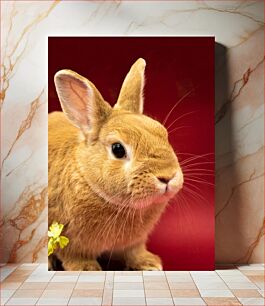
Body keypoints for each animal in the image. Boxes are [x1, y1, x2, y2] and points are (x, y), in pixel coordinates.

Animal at [48, 58, 183, 270]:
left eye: (163, 133)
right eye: (118, 149)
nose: (168, 176)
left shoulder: (134, 242)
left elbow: (134, 252)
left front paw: (150, 264)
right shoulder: (68, 240)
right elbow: (74, 257)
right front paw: (88, 270)